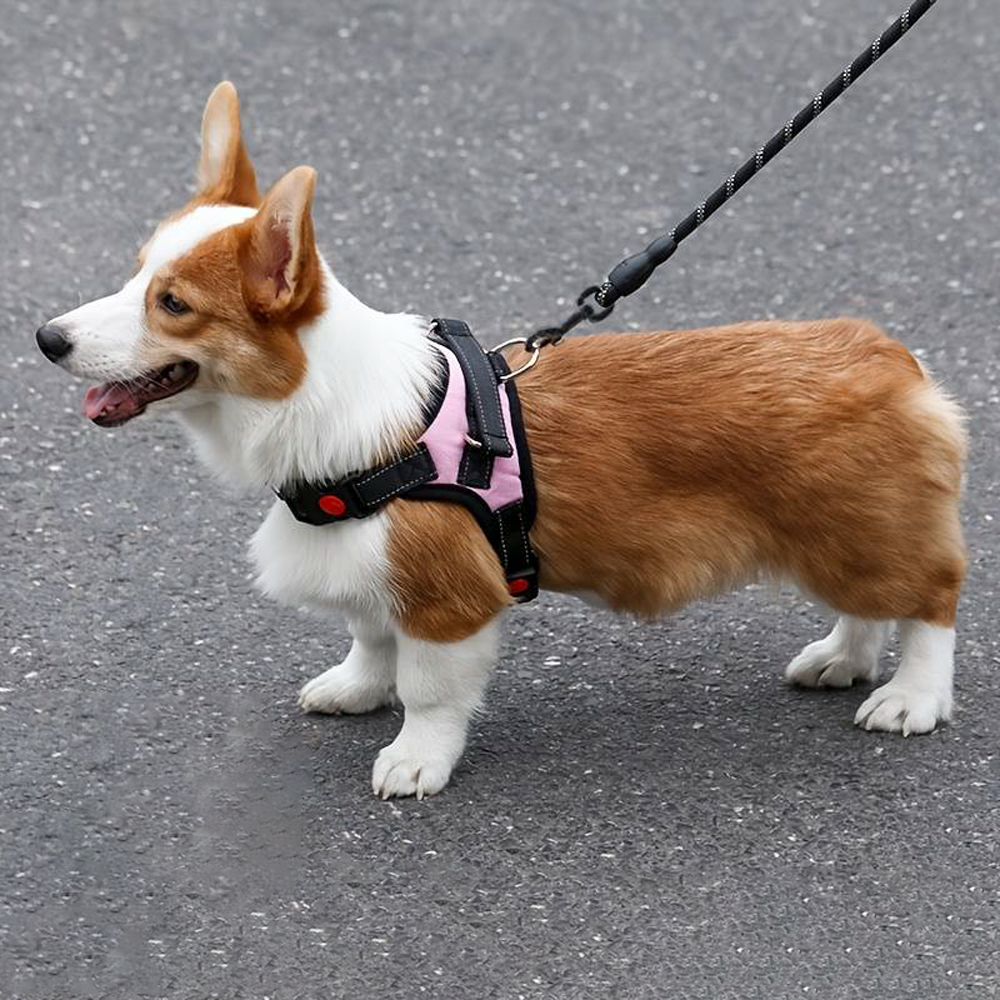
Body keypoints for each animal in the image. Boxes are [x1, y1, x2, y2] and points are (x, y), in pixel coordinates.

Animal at [39, 84, 968, 796]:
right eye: (134, 273)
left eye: (174, 304)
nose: (47, 338)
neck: (315, 398)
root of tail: (895, 359)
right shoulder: (372, 569)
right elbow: (370, 638)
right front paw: (355, 689)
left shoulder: (446, 598)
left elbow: (427, 690)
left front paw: (414, 761)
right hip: (839, 537)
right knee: (870, 605)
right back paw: (840, 659)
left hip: (858, 534)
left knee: (931, 598)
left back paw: (910, 699)